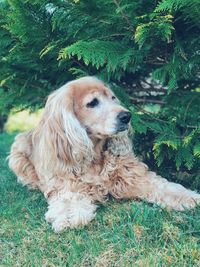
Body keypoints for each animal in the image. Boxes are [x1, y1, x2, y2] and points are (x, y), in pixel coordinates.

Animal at [9, 76, 200, 232]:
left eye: (113, 98)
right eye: (92, 103)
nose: (126, 116)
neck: (94, 153)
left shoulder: (132, 175)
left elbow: (162, 186)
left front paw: (188, 197)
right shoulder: (65, 182)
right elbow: (69, 198)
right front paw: (69, 216)